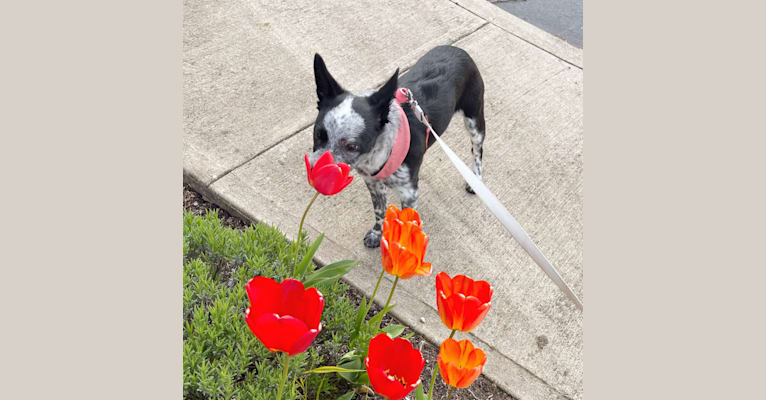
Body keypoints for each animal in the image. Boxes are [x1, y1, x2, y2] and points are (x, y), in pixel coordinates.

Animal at [308, 46, 484, 247]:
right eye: (319, 134)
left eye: (352, 146)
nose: (314, 171)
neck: (377, 153)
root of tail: (457, 49)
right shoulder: (374, 184)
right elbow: (379, 212)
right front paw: (377, 234)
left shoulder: (409, 193)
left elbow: (407, 222)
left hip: (474, 119)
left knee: (477, 150)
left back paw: (476, 178)